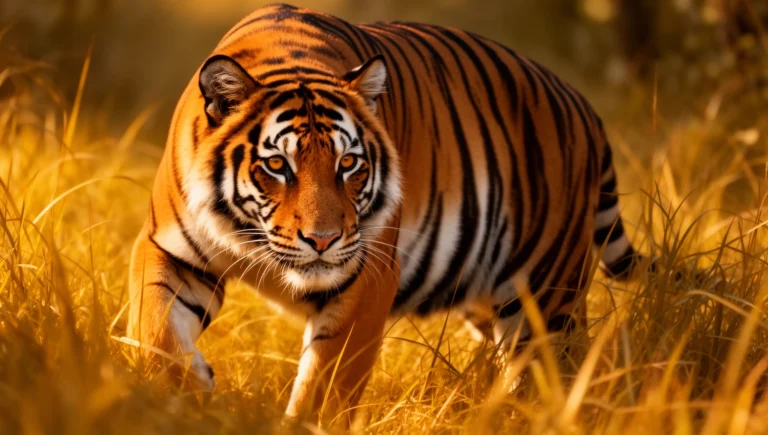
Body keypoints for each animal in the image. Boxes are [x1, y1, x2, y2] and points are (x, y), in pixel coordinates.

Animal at [127, 3, 643, 423]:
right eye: (278, 166)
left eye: (347, 164)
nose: (322, 240)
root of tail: (580, 102)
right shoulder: (167, 248)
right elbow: (155, 331)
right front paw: (186, 394)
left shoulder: (367, 276)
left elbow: (326, 387)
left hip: (544, 292)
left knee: (555, 368)